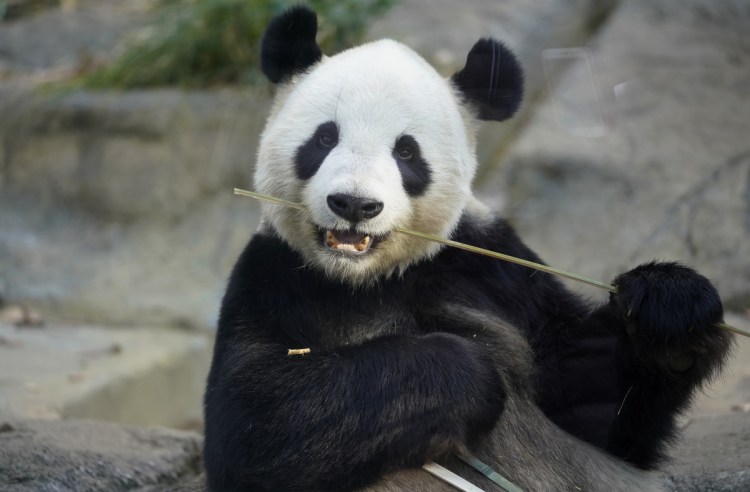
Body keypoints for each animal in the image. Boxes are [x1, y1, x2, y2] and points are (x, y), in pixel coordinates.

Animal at [204, 4, 736, 492]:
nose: (354, 204)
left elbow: (591, 402)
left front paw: (669, 310)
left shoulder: (489, 267)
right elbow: (254, 423)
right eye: (324, 137)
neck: (368, 276)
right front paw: (467, 371)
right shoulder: (273, 276)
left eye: (407, 152)